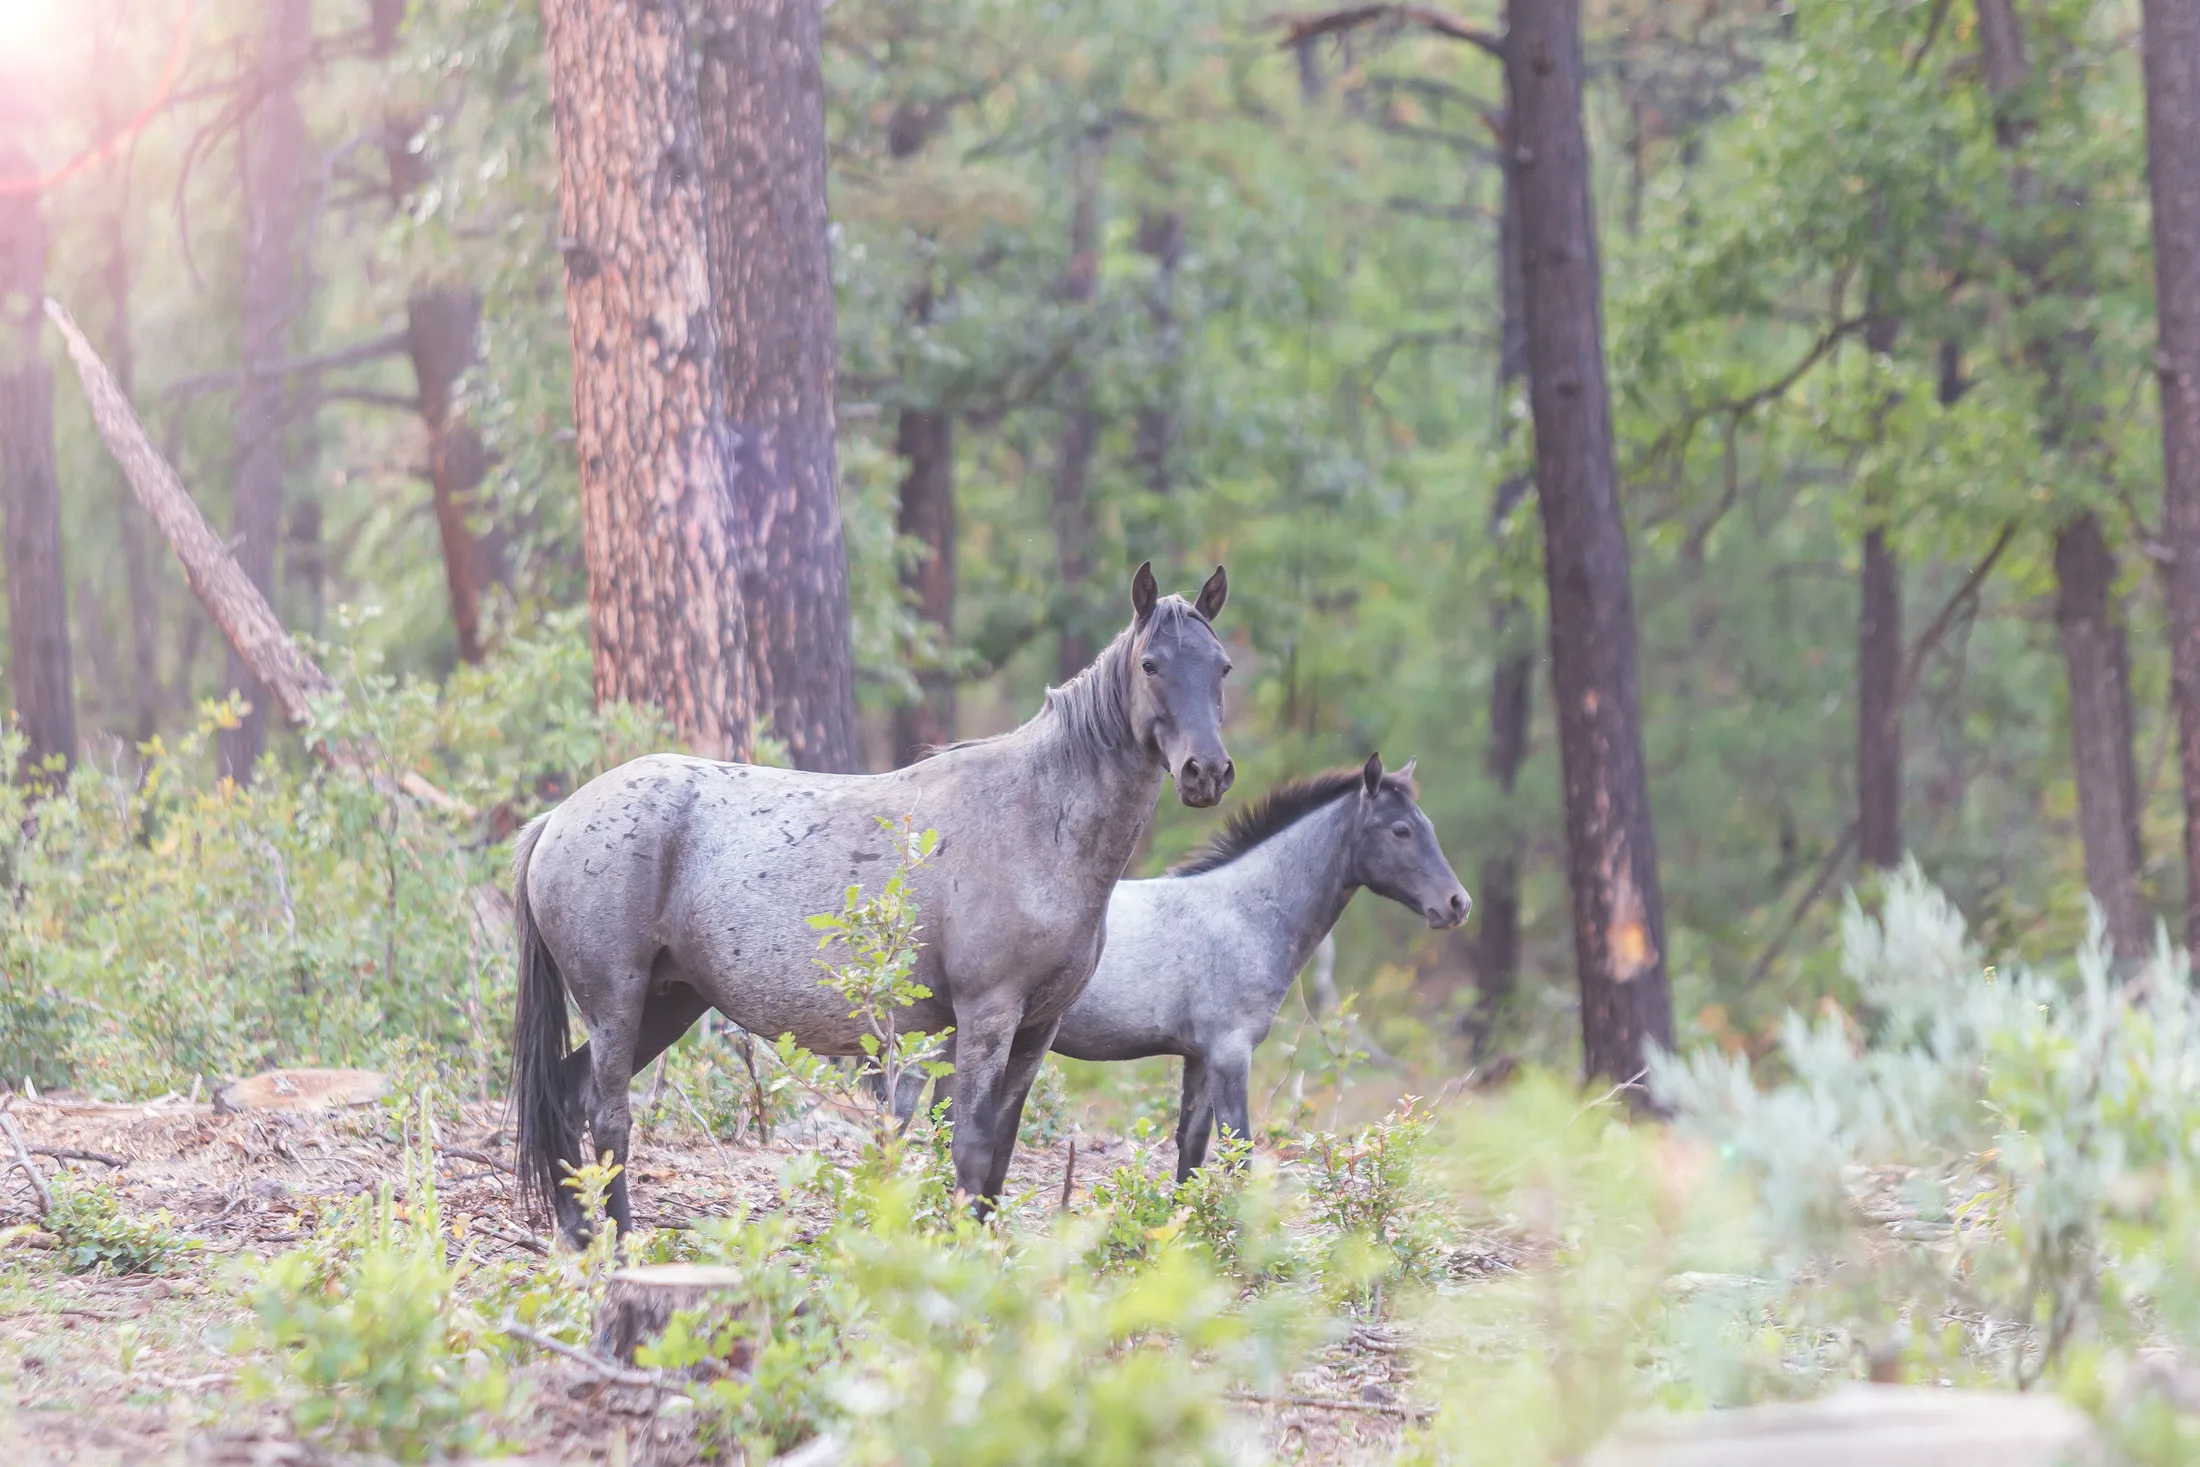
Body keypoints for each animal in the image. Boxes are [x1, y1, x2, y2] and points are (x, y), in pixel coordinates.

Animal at [512, 562, 1236, 1241]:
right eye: (1151, 665)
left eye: (1221, 666)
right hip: (616, 1003)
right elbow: (970, 1149)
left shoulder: (1036, 1030)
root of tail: (557, 818)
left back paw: (579, 1236)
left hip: (669, 1003)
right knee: (608, 1116)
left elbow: (998, 1157)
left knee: (568, 1098)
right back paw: (618, 1244)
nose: (1206, 772)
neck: (1035, 816)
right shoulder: (985, 1019)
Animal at [891, 755, 1468, 1181]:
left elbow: (1192, 1150)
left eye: (1429, 827)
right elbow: (1239, 1151)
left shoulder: (1199, 1058)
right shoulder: (1231, 1053)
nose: (1456, 904)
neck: (1245, 912)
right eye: (1400, 830)